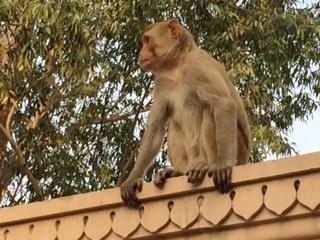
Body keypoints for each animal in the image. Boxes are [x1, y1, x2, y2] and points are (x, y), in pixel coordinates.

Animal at [120, 18, 250, 207]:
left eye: (147, 40)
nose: (141, 52)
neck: (177, 67)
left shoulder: (197, 66)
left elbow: (223, 104)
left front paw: (224, 164)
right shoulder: (162, 82)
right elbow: (156, 127)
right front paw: (132, 179)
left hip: (238, 152)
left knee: (210, 111)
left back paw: (207, 166)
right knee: (174, 123)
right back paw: (177, 173)